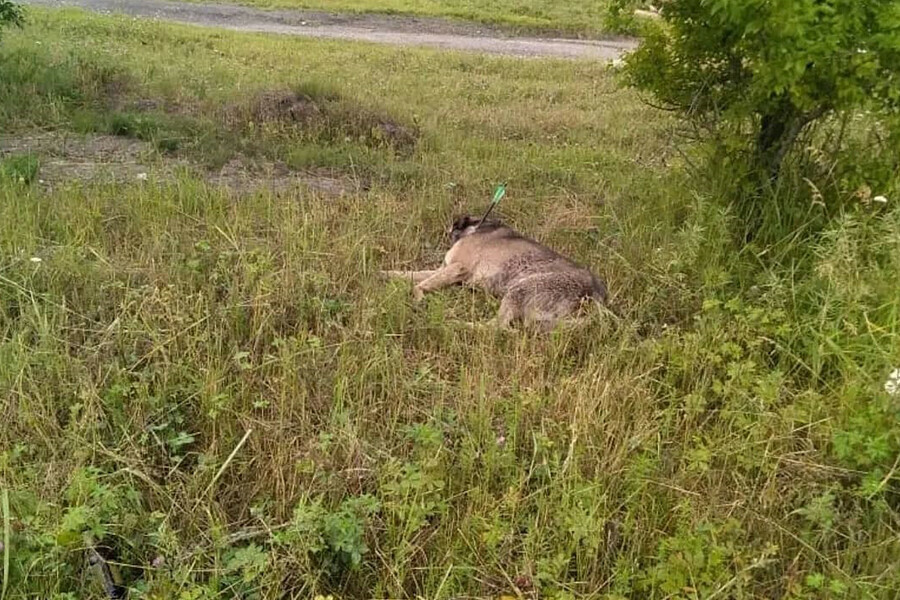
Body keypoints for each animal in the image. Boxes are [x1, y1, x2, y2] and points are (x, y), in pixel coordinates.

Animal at [380, 216, 612, 330]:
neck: (478, 226)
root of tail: (599, 296)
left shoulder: (457, 268)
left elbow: (417, 284)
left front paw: (418, 300)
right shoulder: (443, 269)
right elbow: (409, 274)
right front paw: (383, 273)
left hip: (521, 288)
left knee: (497, 327)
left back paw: (455, 323)